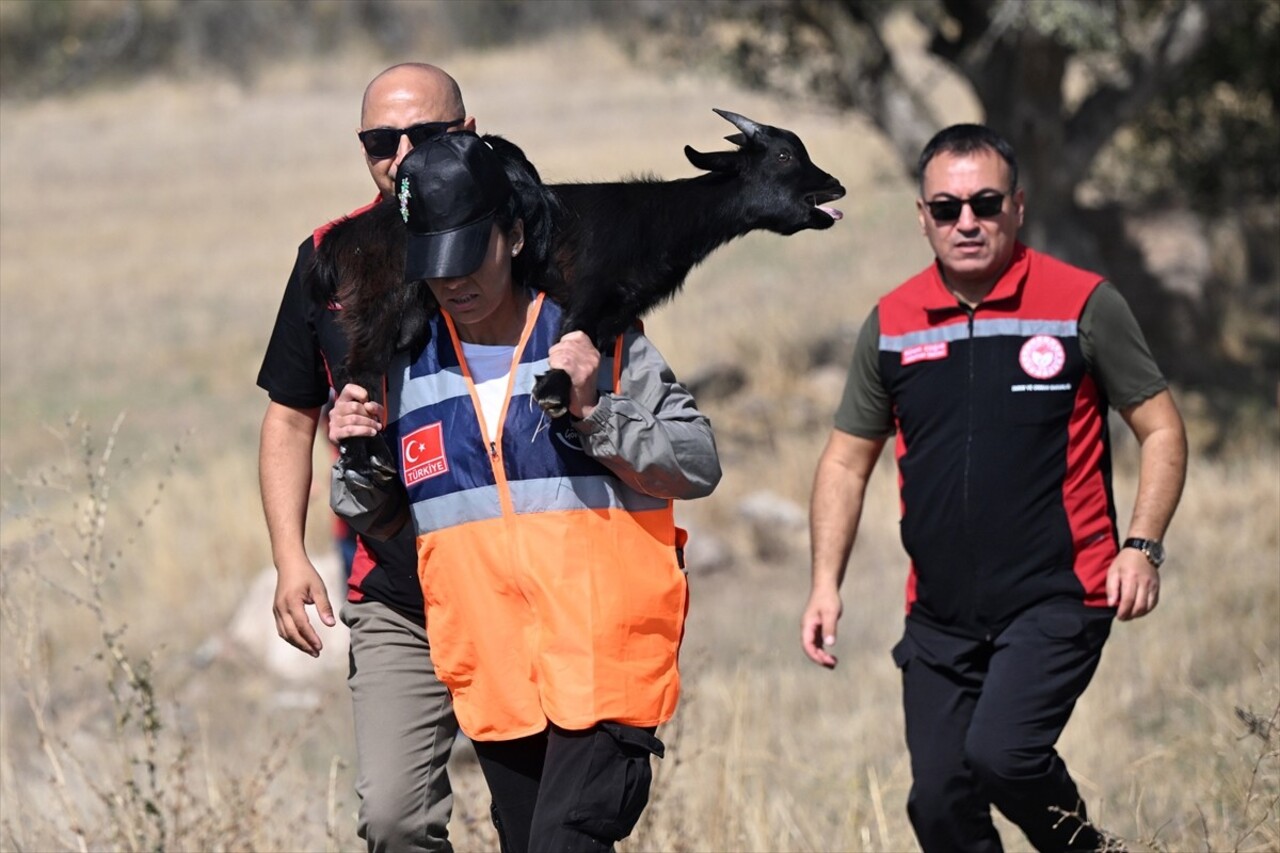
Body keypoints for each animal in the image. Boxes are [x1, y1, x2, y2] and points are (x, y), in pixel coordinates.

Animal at [314, 108, 844, 420]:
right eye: (783, 155)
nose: (835, 186)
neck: (658, 218)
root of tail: (344, 236)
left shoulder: (622, 309)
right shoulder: (591, 289)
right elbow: (572, 334)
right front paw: (552, 389)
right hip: (381, 301)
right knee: (358, 370)